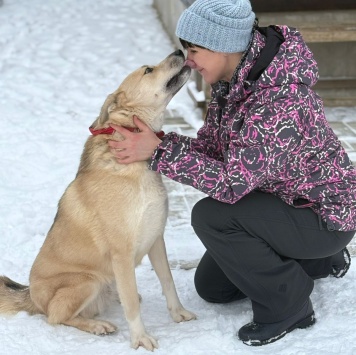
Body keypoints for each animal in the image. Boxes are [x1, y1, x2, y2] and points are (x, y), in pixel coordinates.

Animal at [0, 48, 195, 352]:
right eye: (148, 70)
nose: (178, 50)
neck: (134, 167)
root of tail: (30, 296)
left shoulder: (156, 239)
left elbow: (168, 281)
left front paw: (178, 313)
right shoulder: (122, 253)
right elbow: (131, 305)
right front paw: (140, 338)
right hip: (87, 281)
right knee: (56, 317)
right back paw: (96, 325)